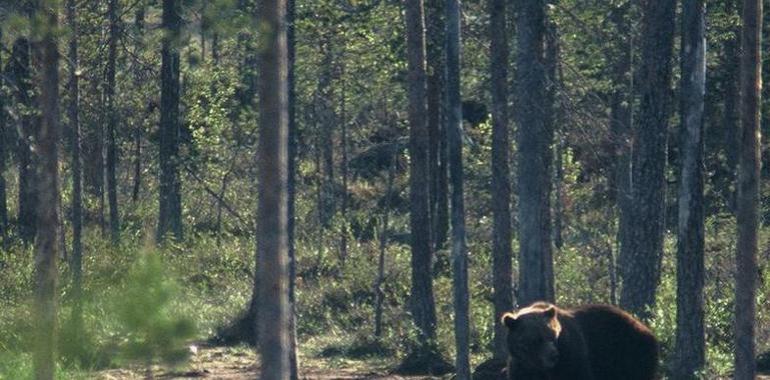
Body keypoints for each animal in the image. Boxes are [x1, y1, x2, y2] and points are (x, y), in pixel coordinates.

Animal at [500, 302, 656, 378]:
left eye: (553, 336)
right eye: (538, 339)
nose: (553, 355)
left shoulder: (571, 356)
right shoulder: (521, 366)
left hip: (630, 352)